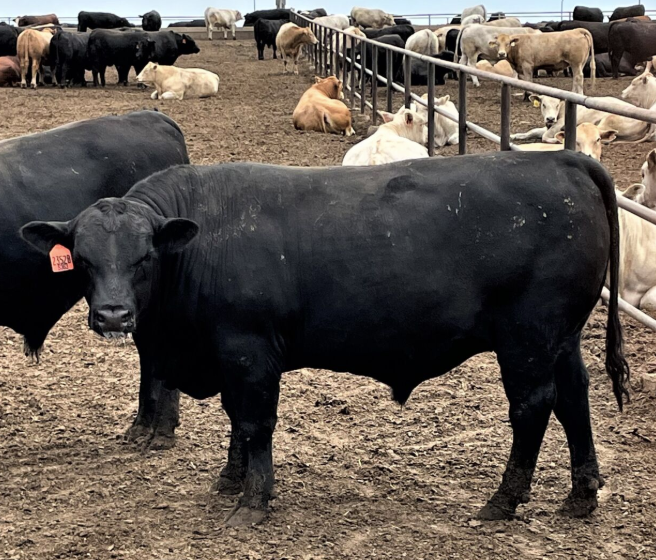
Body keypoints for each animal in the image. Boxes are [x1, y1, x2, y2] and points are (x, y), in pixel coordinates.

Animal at [19, 151, 629, 527]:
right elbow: (236, 421)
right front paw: (231, 478)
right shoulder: (228, 355)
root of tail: (563, 158)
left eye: (144, 256)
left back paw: (503, 500)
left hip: (527, 336)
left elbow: (254, 422)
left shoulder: (249, 351)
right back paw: (581, 495)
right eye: (82, 259)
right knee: (574, 400)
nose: (113, 314)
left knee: (533, 406)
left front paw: (253, 500)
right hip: (562, 337)